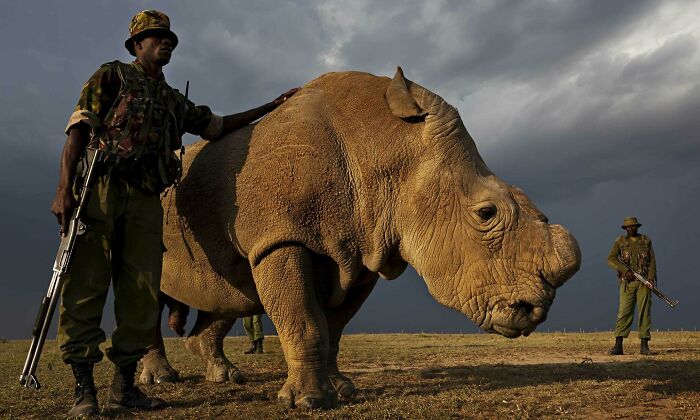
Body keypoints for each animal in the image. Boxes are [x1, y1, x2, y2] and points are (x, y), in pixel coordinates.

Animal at [140, 68, 581, 409]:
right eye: (486, 214)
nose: (535, 311)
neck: (386, 147)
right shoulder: (281, 238)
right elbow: (305, 321)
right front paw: (307, 402)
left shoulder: (364, 251)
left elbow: (333, 327)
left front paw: (342, 390)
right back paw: (161, 380)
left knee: (225, 294)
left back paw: (225, 376)